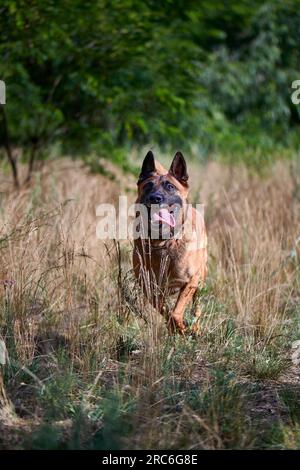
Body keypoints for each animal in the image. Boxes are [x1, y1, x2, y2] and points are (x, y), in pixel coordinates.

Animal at [132, 151, 207, 334]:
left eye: (170, 187)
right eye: (148, 186)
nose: (155, 198)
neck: (163, 243)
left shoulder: (191, 281)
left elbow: (176, 312)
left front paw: (181, 327)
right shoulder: (149, 287)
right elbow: (165, 309)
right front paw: (176, 328)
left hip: (201, 281)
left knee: (197, 308)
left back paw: (195, 328)